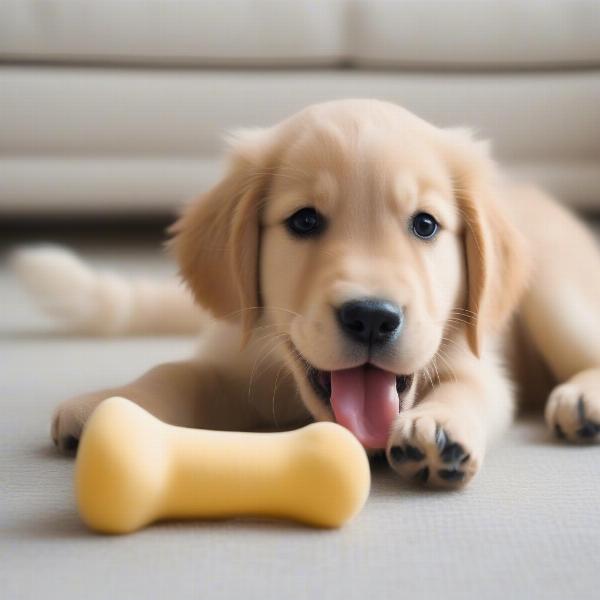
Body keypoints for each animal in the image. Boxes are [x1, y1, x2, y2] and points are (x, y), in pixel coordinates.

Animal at [38, 99, 600, 488]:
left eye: (425, 225)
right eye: (304, 220)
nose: (372, 317)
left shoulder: (476, 357)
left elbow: (471, 388)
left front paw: (439, 426)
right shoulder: (235, 355)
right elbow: (177, 371)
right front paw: (110, 401)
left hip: (555, 292)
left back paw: (582, 400)